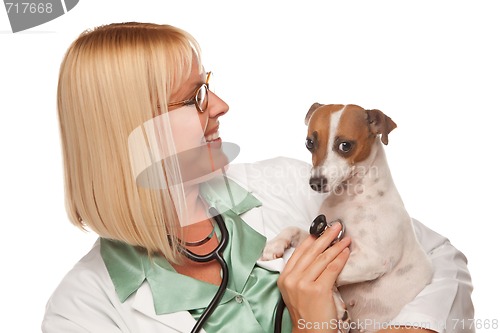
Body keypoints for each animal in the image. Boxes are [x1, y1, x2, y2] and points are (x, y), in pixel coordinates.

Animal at [264, 102, 432, 330]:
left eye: (345, 145)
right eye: (309, 143)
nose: (316, 183)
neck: (351, 197)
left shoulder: (372, 259)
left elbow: (333, 274)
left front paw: (336, 305)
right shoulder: (321, 236)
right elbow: (292, 229)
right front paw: (273, 245)